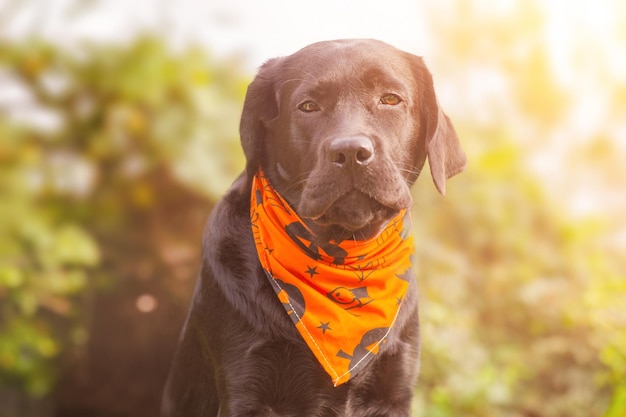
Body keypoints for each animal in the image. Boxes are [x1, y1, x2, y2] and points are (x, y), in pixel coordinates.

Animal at [161, 39, 464, 416]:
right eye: (308, 106)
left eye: (391, 98)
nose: (351, 151)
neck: (340, 254)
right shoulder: (245, 384)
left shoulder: (394, 388)